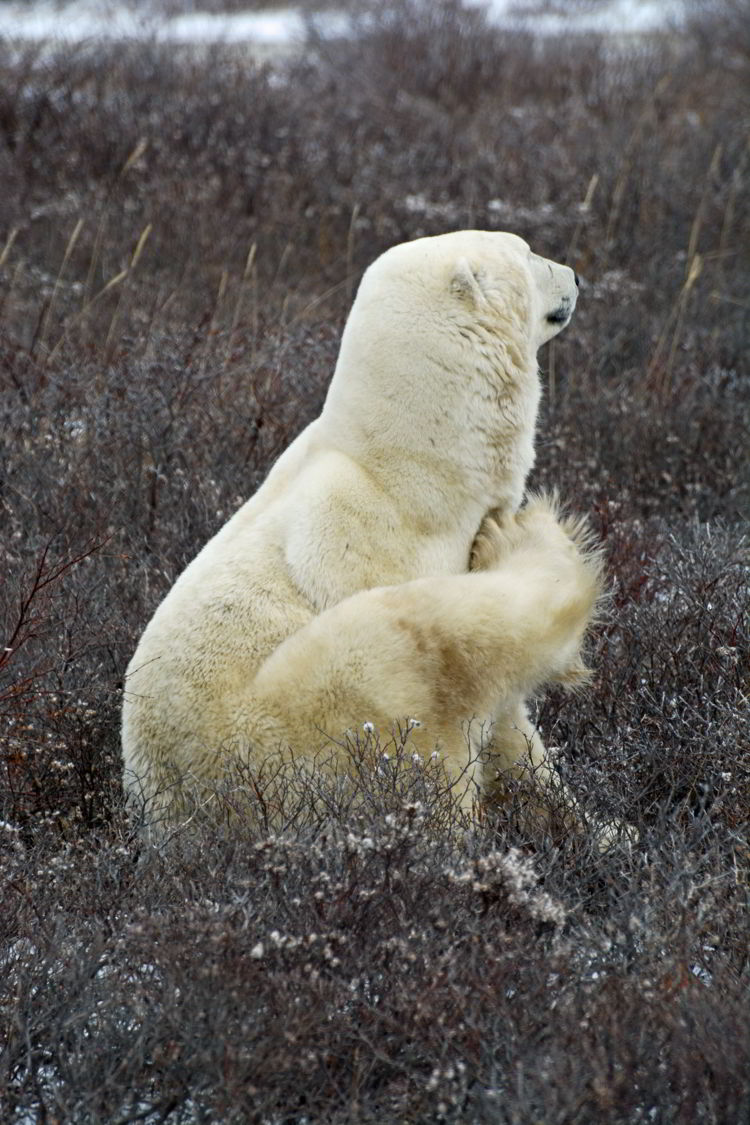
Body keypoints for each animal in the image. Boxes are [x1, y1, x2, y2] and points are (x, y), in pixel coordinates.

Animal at [123, 228, 584, 828]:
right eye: (527, 252)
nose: (576, 276)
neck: (416, 467)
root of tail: (162, 812)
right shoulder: (366, 534)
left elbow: (511, 725)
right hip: (276, 736)